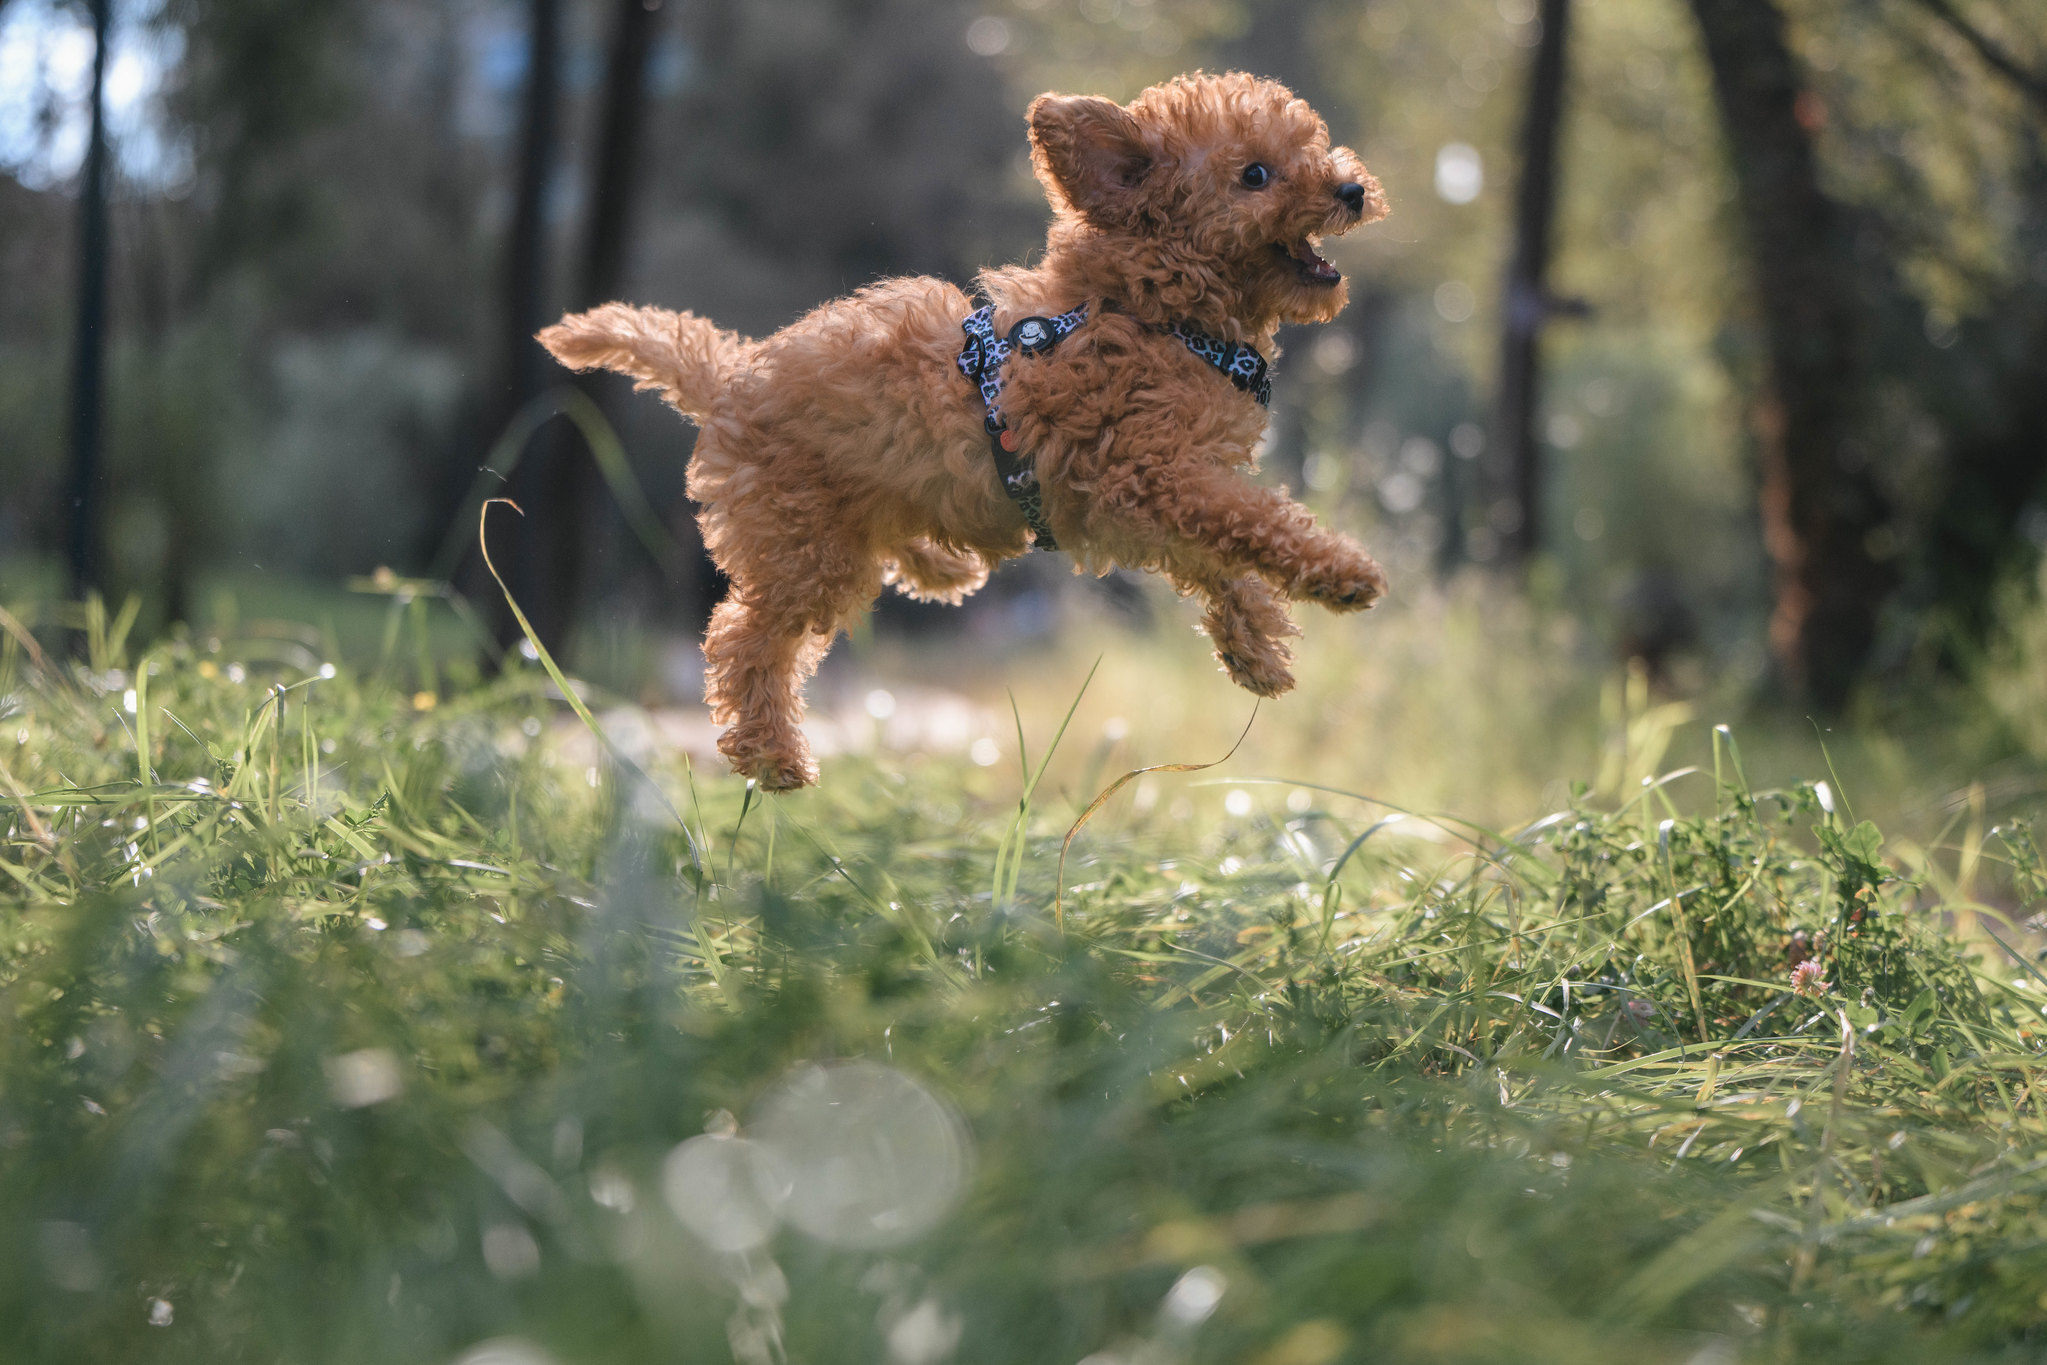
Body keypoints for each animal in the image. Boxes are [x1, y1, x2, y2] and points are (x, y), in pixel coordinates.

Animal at [536, 72, 1391, 789]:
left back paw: (934, 569)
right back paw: (772, 758)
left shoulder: (1150, 498)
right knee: (743, 640)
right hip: (804, 547)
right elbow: (1254, 520)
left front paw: (1255, 650)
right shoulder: (1145, 474)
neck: (1151, 309)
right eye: (1255, 176)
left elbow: (1225, 555)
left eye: (1309, 147)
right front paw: (1341, 572)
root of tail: (728, 378)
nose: (1351, 188)